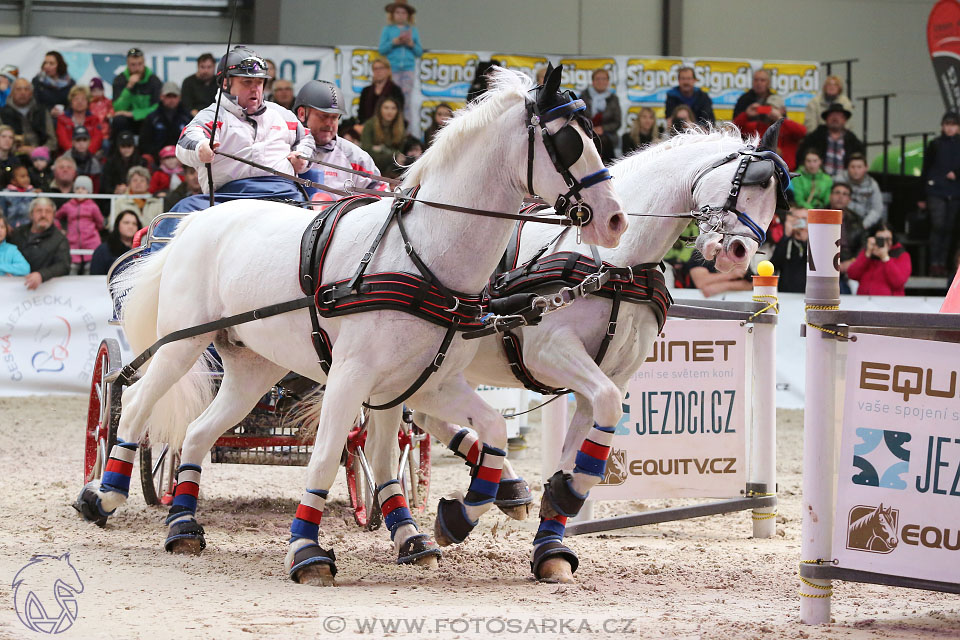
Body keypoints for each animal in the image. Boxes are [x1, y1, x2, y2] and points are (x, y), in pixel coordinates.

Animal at [77, 65, 632, 584]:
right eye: (567, 141)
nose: (614, 220)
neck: (421, 255)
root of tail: (194, 223)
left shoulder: (424, 382)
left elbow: (484, 429)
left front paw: (450, 519)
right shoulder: (350, 377)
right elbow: (326, 455)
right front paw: (308, 552)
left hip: (251, 369)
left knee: (196, 432)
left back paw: (184, 526)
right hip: (183, 344)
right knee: (134, 405)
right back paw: (102, 495)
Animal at [390, 122, 788, 584]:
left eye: (776, 199)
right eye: (752, 181)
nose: (740, 254)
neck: (616, 264)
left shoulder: (605, 376)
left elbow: (589, 436)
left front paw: (553, 540)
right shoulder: (550, 352)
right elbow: (607, 410)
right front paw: (556, 497)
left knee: (427, 417)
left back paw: (504, 485)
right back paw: (422, 532)